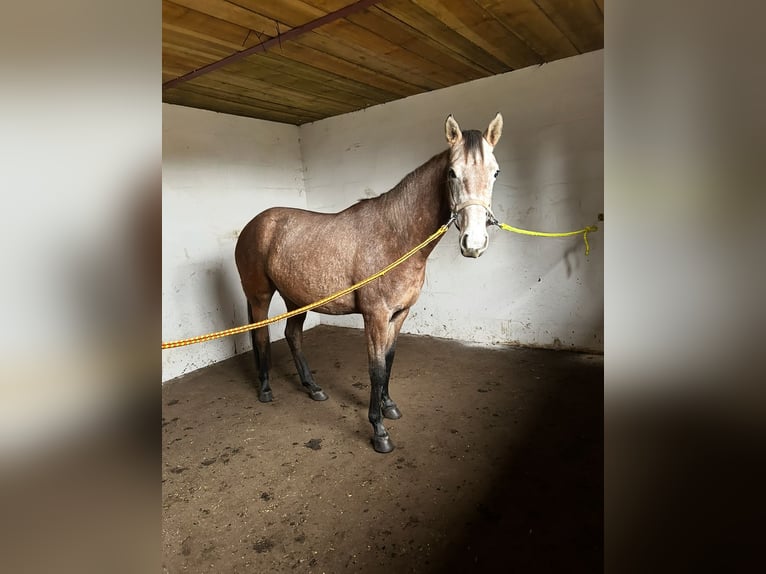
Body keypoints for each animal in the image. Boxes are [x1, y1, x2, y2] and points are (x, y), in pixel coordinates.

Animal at [235, 113, 503, 453]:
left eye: (495, 172)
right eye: (452, 173)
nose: (474, 243)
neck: (396, 237)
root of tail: (252, 225)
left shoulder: (398, 315)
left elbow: (389, 361)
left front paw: (389, 406)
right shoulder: (374, 316)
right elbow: (375, 369)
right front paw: (379, 431)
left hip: (296, 299)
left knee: (293, 336)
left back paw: (313, 388)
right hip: (260, 296)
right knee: (261, 337)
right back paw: (266, 389)